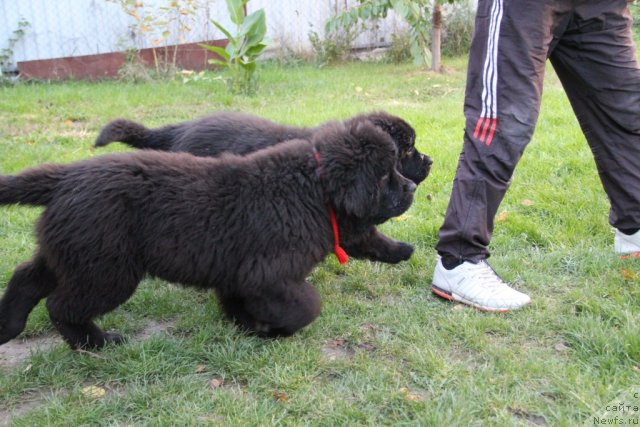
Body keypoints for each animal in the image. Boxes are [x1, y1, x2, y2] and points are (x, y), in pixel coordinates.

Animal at [0, 120, 418, 352]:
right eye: (387, 175)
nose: (413, 186)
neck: (314, 188)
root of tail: (65, 176)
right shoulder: (268, 275)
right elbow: (307, 306)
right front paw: (273, 329)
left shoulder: (239, 274)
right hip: (107, 269)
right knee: (60, 305)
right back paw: (96, 344)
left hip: (75, 253)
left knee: (27, 276)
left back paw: (9, 326)